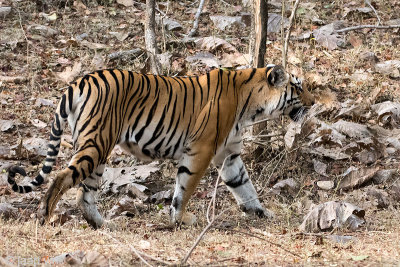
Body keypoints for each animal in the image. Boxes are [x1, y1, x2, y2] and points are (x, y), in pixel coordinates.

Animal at [5, 65, 312, 230]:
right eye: (298, 87)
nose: (313, 102)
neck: (250, 105)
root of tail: (80, 81)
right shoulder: (200, 150)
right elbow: (184, 188)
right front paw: (180, 219)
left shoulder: (230, 156)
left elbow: (245, 187)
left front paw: (262, 213)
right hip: (96, 144)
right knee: (61, 177)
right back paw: (44, 217)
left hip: (98, 150)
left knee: (85, 194)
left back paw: (104, 225)